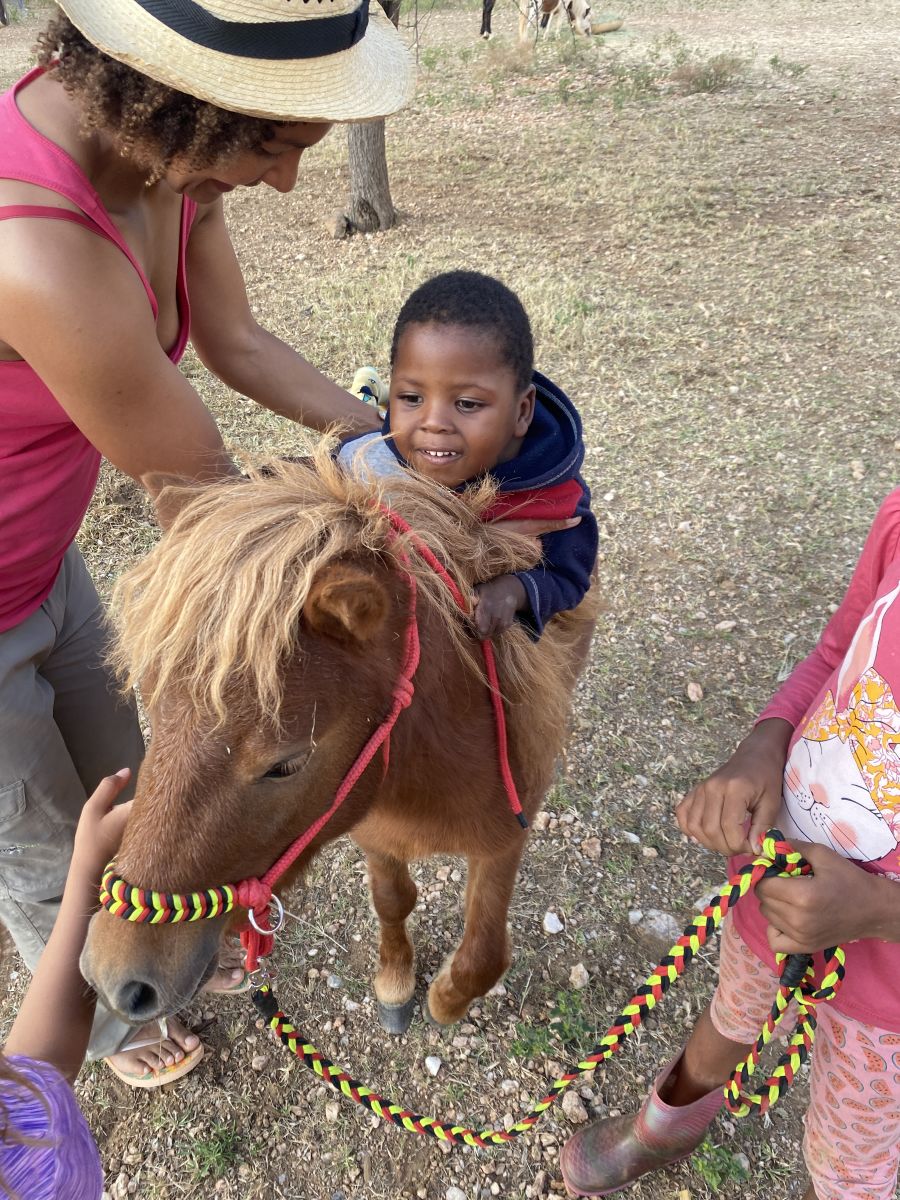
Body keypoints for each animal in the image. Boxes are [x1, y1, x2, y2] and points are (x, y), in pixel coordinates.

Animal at [79, 446, 600, 1036]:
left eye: (286, 764)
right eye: (152, 711)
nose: (115, 976)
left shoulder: (505, 841)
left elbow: (484, 953)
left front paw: (446, 1001)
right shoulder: (372, 829)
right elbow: (393, 900)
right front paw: (395, 982)